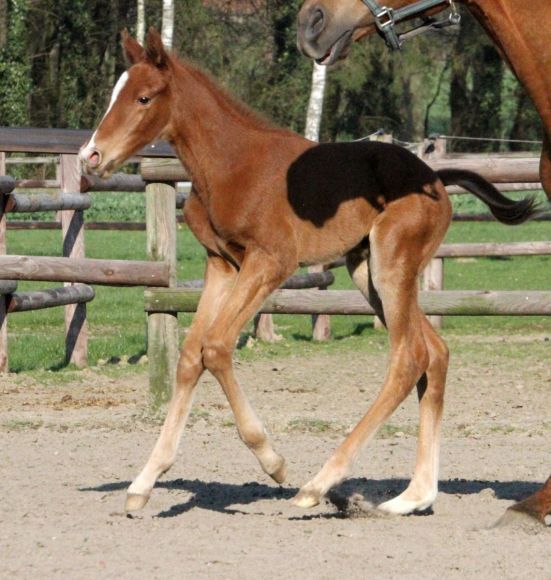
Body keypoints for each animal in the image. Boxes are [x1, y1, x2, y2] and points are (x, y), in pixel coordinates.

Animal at [80, 28, 536, 516]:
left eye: (144, 97)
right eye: (114, 93)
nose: (91, 156)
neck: (231, 163)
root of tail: (435, 177)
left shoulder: (270, 262)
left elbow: (216, 347)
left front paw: (273, 462)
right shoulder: (221, 264)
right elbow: (189, 355)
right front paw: (144, 482)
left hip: (391, 266)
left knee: (410, 356)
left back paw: (318, 485)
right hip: (366, 271)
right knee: (435, 353)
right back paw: (413, 495)